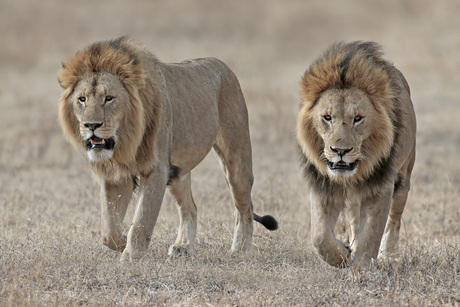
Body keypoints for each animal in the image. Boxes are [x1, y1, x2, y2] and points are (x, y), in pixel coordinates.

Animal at [59, 36, 278, 262]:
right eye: (82, 99)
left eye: (109, 98)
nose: (91, 125)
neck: (125, 142)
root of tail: (223, 66)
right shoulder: (116, 176)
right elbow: (108, 229)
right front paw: (122, 242)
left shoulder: (157, 169)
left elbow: (142, 218)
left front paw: (131, 256)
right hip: (178, 172)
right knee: (191, 208)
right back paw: (184, 246)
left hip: (236, 160)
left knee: (244, 208)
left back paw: (239, 250)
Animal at [294, 42, 416, 268]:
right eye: (327, 117)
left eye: (358, 118)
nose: (340, 151)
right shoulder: (323, 184)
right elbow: (320, 237)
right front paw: (342, 255)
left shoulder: (382, 187)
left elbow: (371, 236)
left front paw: (361, 270)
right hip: (353, 199)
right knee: (353, 221)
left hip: (404, 177)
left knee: (394, 220)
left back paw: (387, 255)